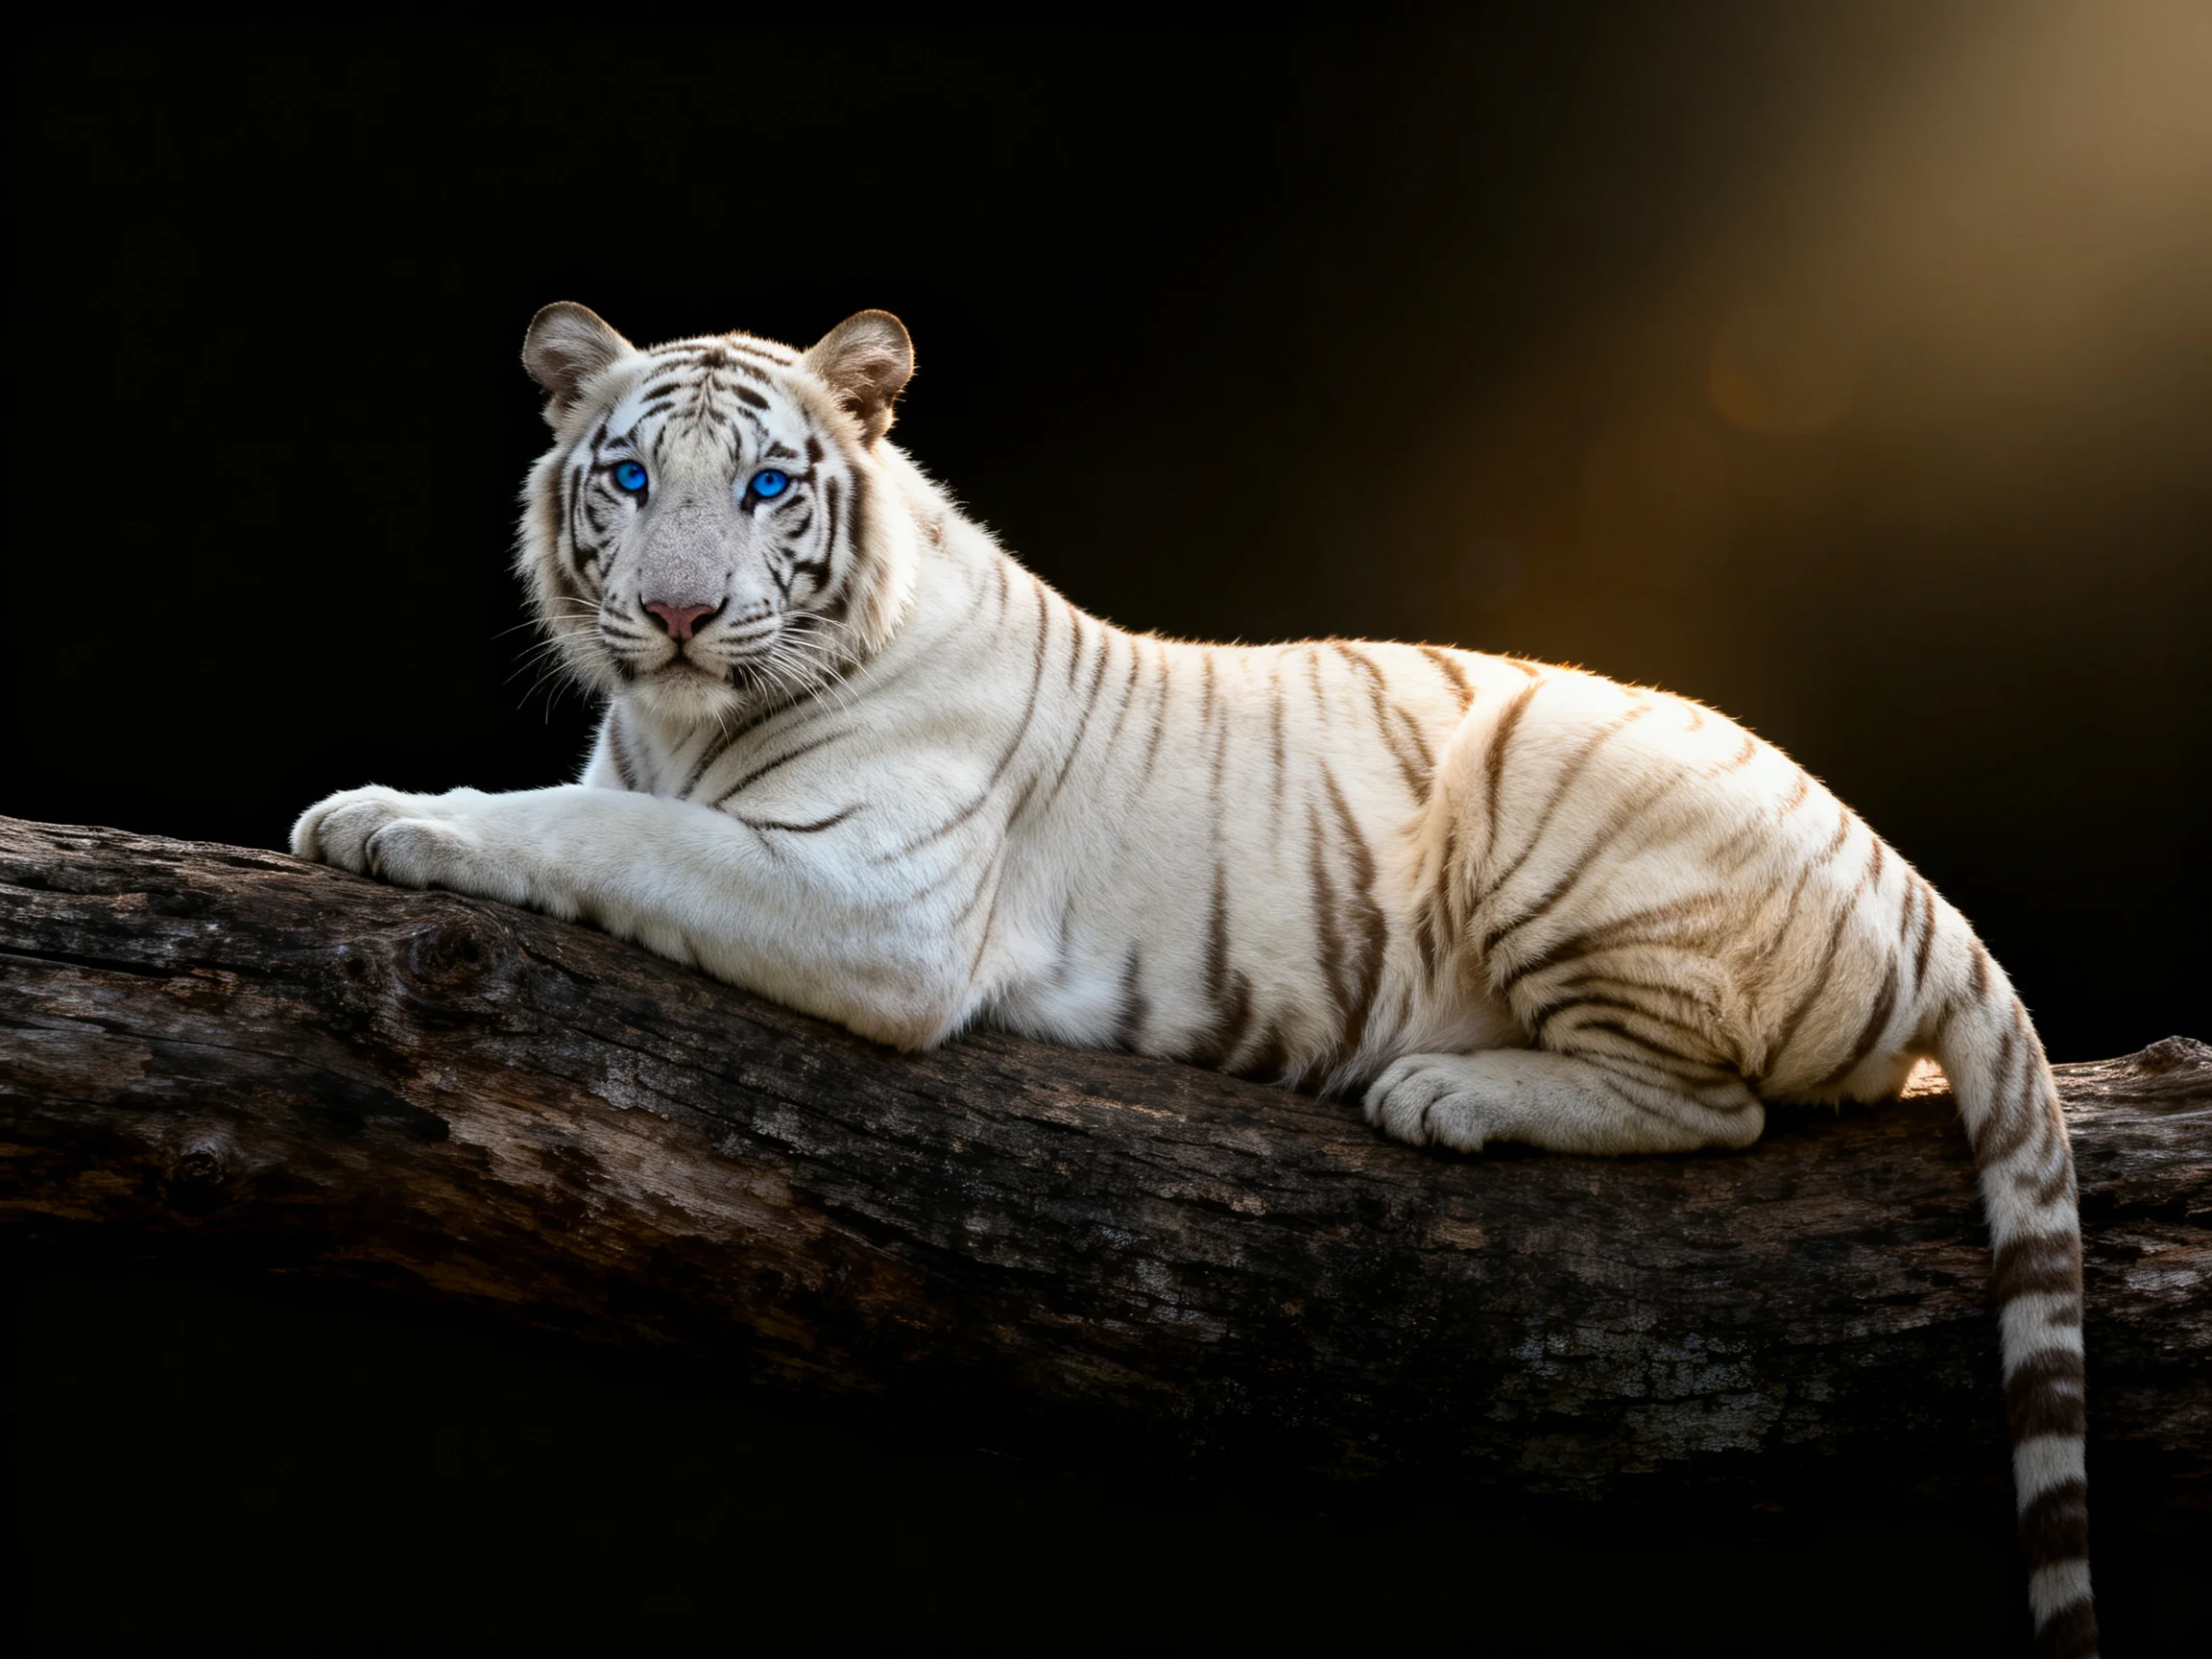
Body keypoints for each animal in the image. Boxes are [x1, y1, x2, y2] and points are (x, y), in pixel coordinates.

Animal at [293, 303, 2097, 1657]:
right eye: (624, 474)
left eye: (763, 489)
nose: (674, 616)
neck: (676, 721)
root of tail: (1924, 894)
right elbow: (600, 805)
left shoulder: (876, 902)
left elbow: (601, 830)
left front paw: (385, 817)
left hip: (1541, 754)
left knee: (1722, 1112)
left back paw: (1445, 1089)